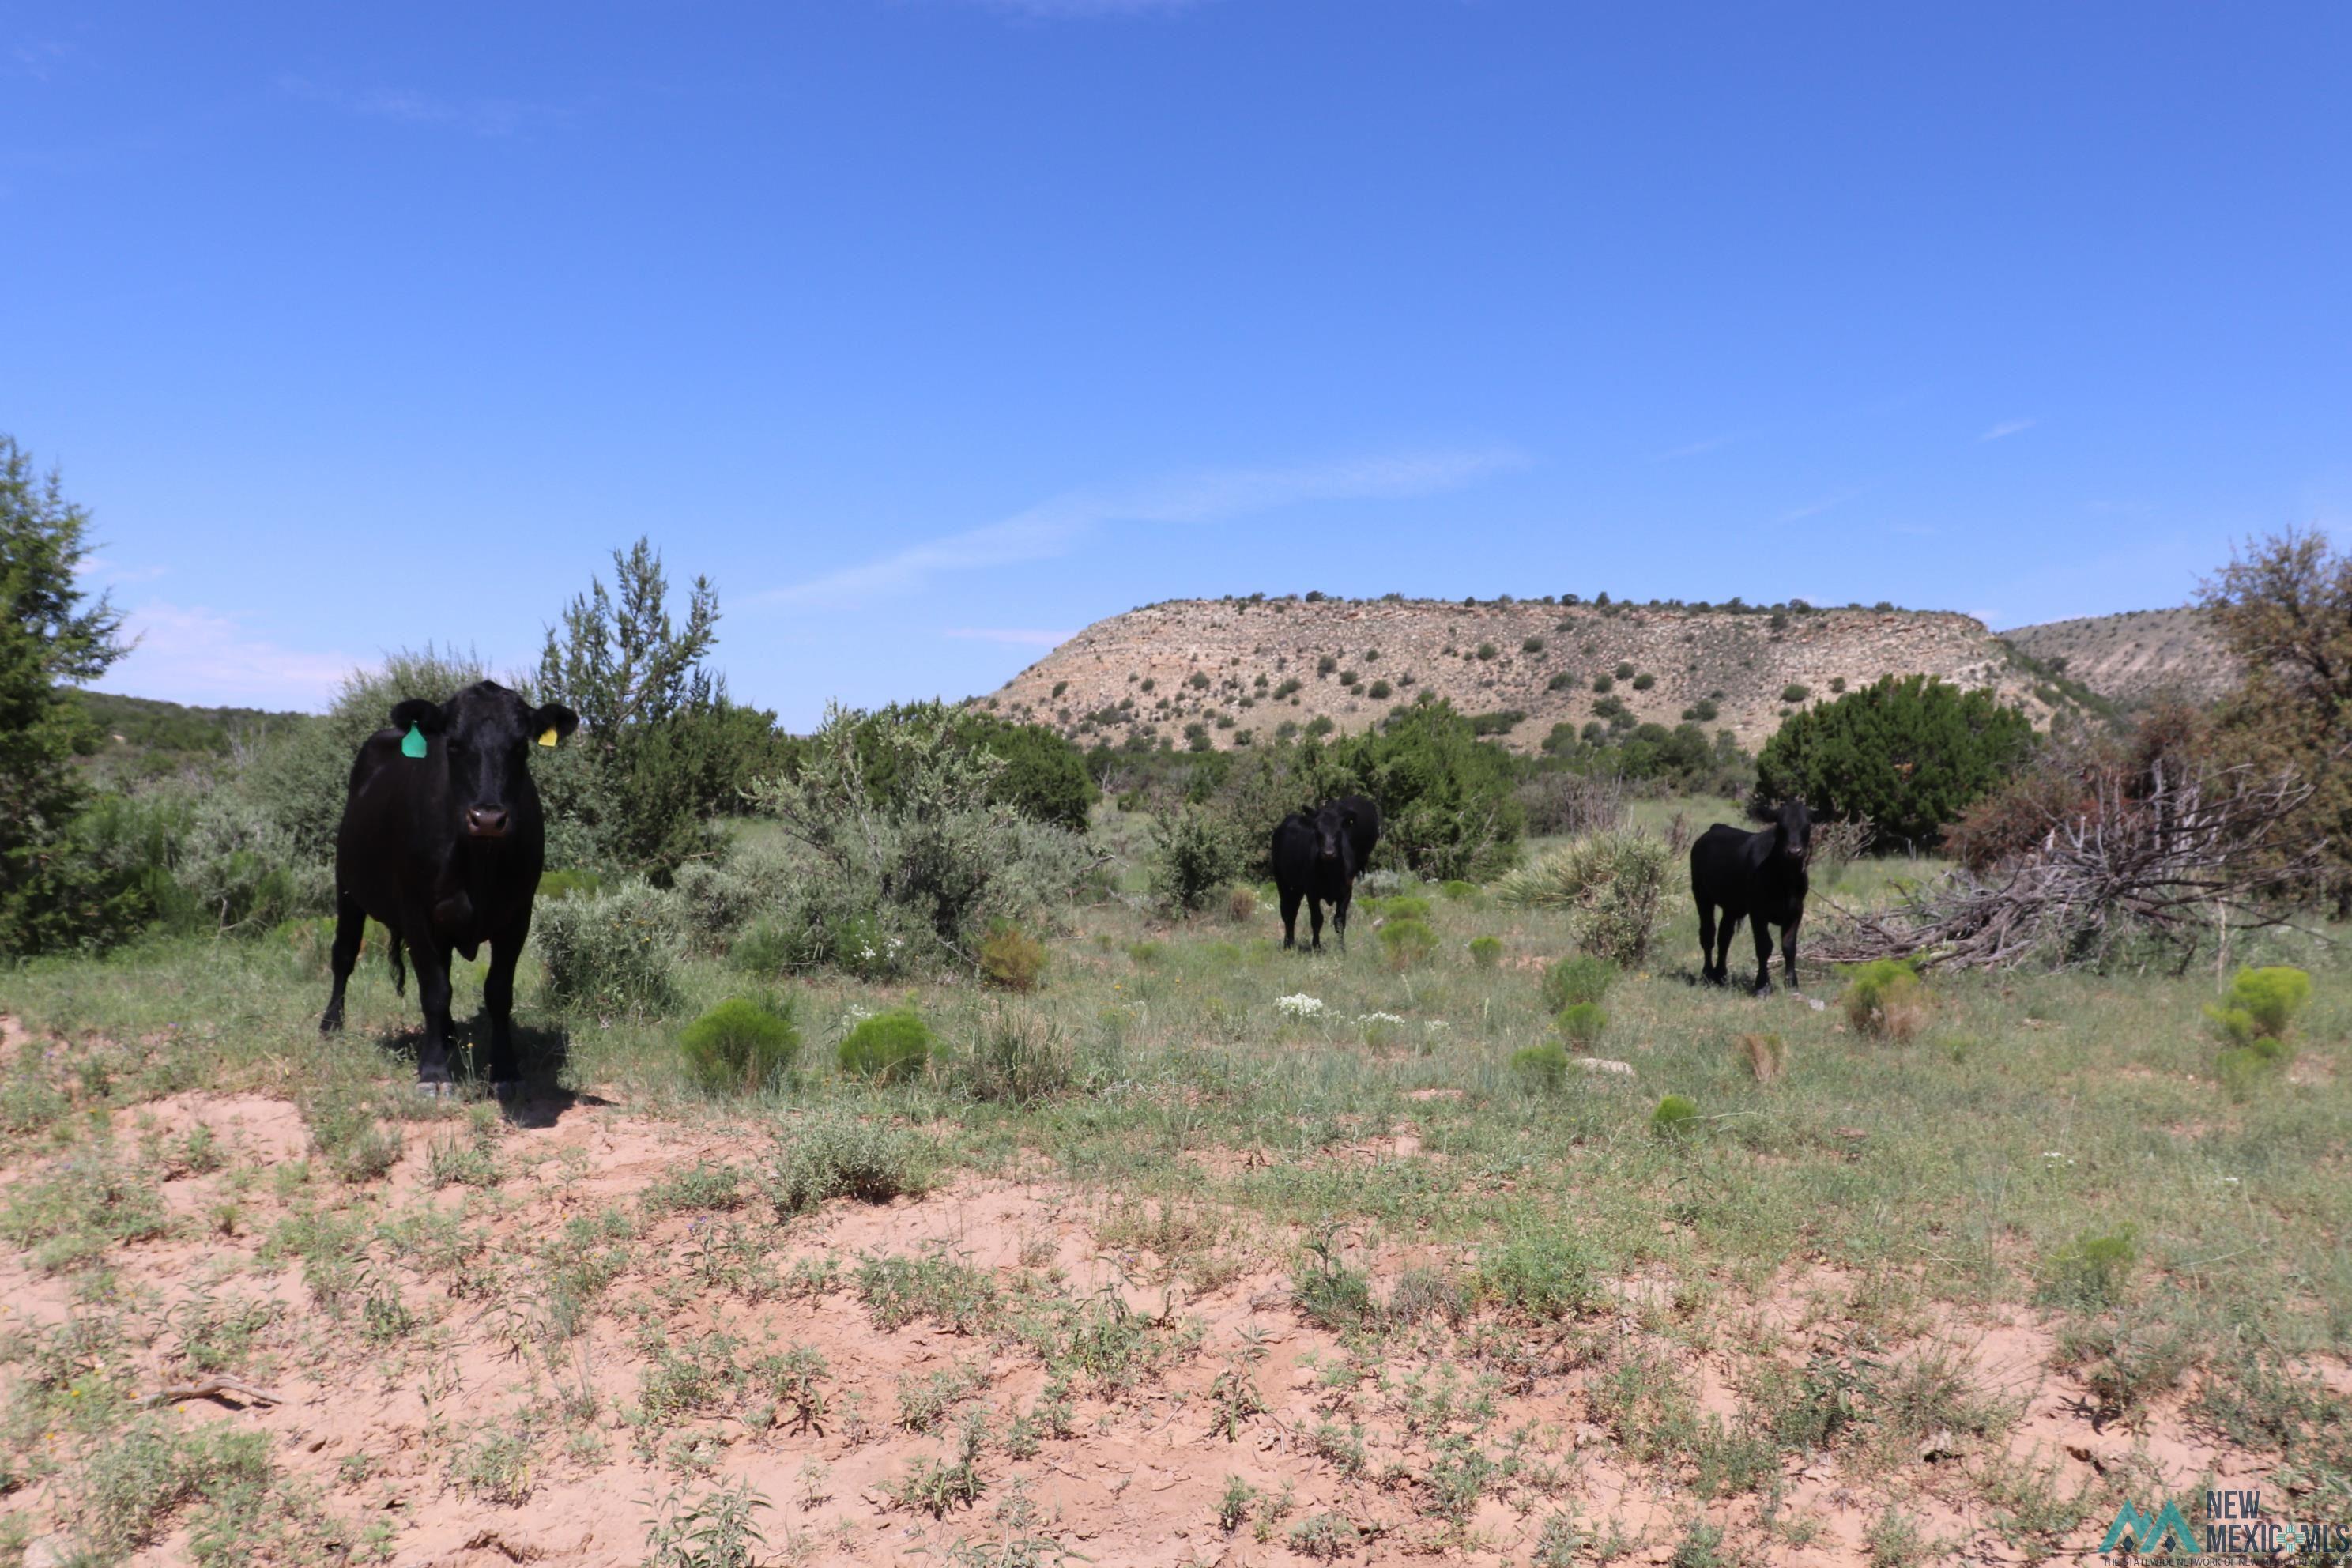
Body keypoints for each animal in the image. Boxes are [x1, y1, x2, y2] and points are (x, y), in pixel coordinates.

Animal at [317, 681, 579, 1100]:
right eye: (453, 745)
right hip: (347, 889)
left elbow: (498, 992)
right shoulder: (415, 911)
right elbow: (435, 990)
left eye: (519, 745)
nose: (487, 818)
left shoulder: (518, 914)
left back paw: (450, 1035)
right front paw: (434, 1072)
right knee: (343, 954)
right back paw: (331, 1025)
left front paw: (505, 1070)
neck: (478, 863)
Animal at [1270, 808, 1364, 959]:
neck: (1332, 872)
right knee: (1287, 913)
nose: (1328, 853)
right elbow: (1317, 919)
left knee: (1293, 912)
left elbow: (1340, 921)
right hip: (1282, 882)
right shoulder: (1312, 893)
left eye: (1338, 831)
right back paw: (1288, 944)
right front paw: (1316, 947)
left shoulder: (1347, 893)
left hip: (1296, 889)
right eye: (1318, 832)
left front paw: (1342, 949)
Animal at [1693, 799, 1815, 992]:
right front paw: (1762, 985)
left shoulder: (1796, 910)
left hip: (1732, 905)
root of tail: (1716, 828)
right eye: (1780, 825)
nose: (1794, 851)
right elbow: (1764, 946)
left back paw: (1721, 975)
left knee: (1724, 936)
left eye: (1808, 825)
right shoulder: (1758, 911)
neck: (1784, 879)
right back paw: (1708, 974)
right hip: (1701, 894)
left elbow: (1789, 946)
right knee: (1708, 934)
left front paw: (1792, 983)